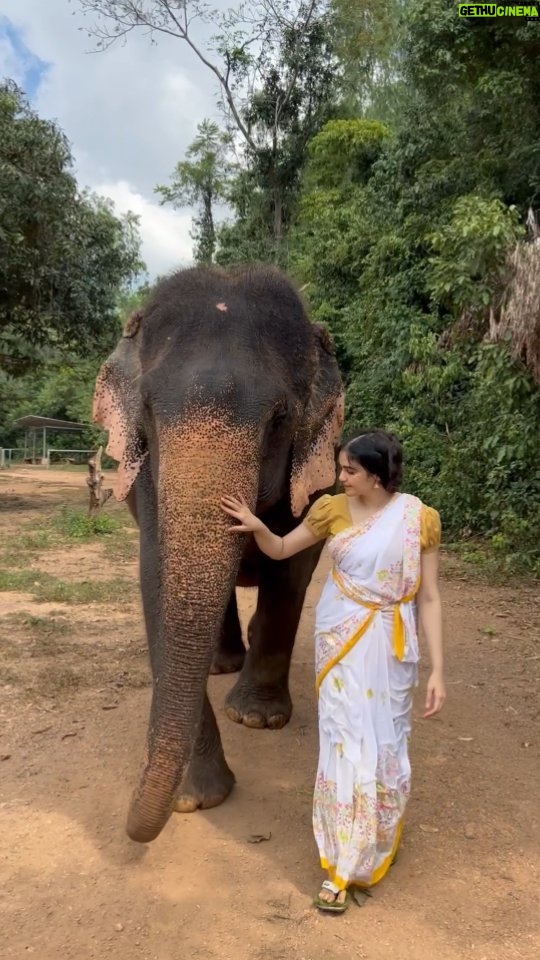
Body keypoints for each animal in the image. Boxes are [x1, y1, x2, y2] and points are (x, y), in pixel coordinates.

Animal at [93, 262, 344, 840]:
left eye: (280, 418)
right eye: (146, 411)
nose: (131, 825)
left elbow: (291, 568)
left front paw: (257, 719)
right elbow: (156, 579)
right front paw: (195, 798)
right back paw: (220, 663)